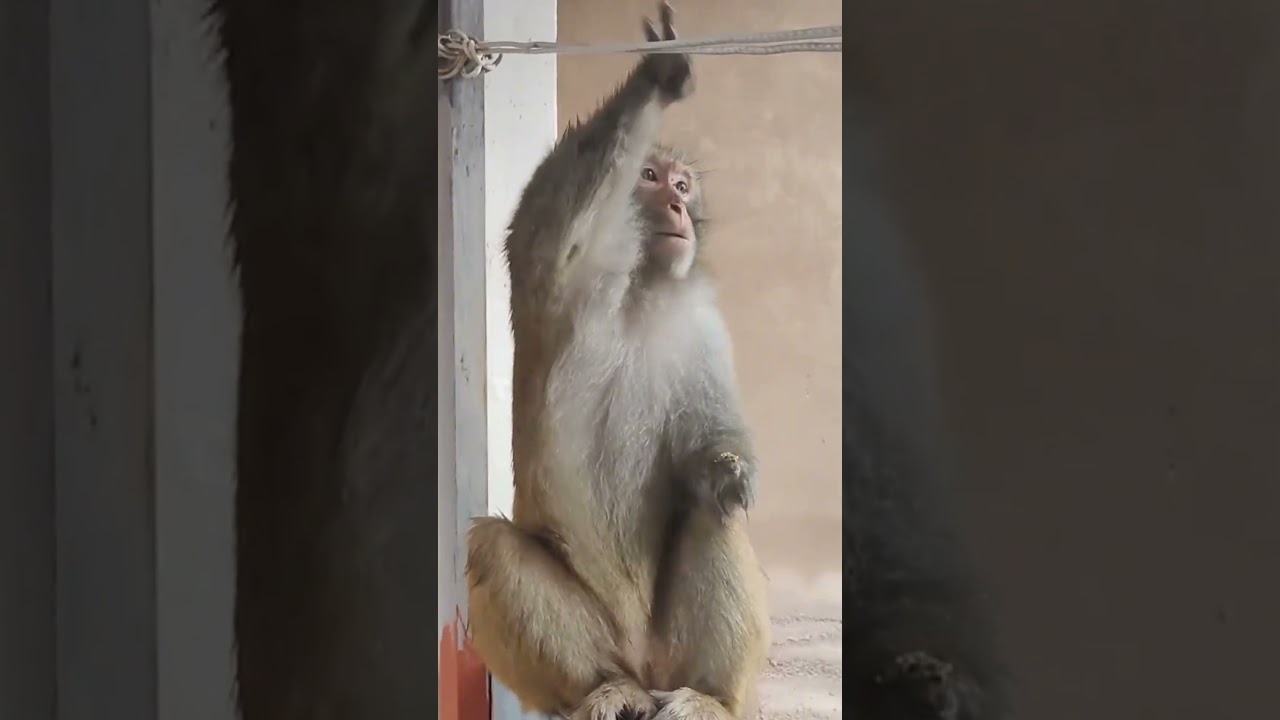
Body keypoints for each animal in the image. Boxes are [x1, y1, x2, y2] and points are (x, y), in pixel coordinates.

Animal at [464, 4, 770, 720]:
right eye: (651, 179)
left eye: (683, 184)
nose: (679, 205)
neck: (640, 285)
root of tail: (644, 661)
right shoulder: (549, 258)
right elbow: (556, 228)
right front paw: (656, 77)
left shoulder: (703, 319)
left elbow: (709, 458)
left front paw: (727, 470)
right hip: (591, 637)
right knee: (493, 549)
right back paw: (604, 688)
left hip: (671, 647)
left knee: (713, 514)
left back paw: (710, 698)